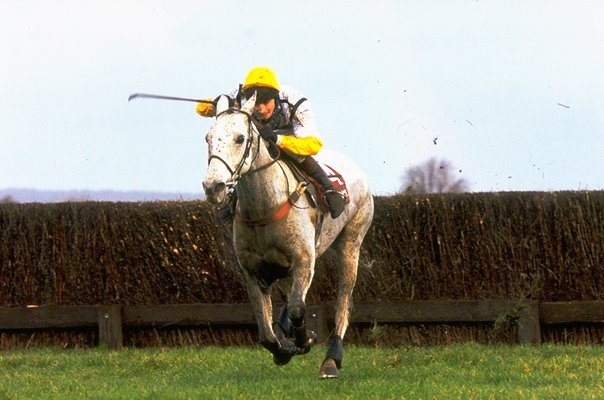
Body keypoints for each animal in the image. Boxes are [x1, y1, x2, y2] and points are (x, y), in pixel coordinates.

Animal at [203, 93, 372, 378]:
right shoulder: (254, 270)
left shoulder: (304, 259)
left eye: (240, 138)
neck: (263, 206)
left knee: (343, 301)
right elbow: (265, 333)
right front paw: (283, 349)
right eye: (208, 138)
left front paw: (305, 339)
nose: (212, 187)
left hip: (351, 244)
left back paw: (331, 360)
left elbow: (297, 308)